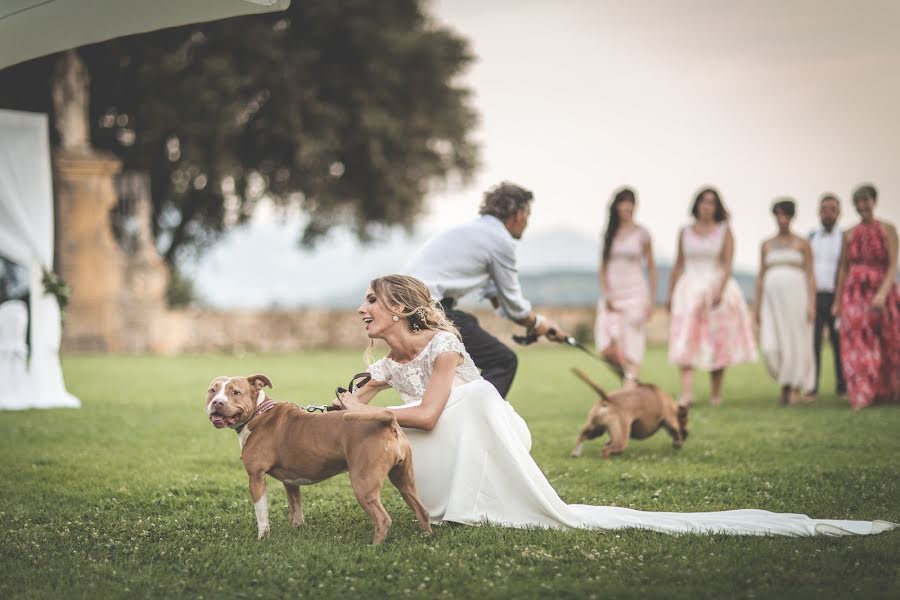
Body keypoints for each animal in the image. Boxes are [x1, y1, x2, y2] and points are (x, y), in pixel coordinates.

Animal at [206, 376, 430, 544]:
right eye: (212, 391)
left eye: (235, 392)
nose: (217, 402)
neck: (258, 413)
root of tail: (388, 422)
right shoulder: (290, 482)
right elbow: (296, 509)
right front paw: (297, 530)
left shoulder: (256, 477)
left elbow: (261, 513)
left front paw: (262, 538)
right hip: (404, 479)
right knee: (421, 509)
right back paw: (426, 538)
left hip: (363, 484)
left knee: (383, 519)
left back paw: (374, 546)